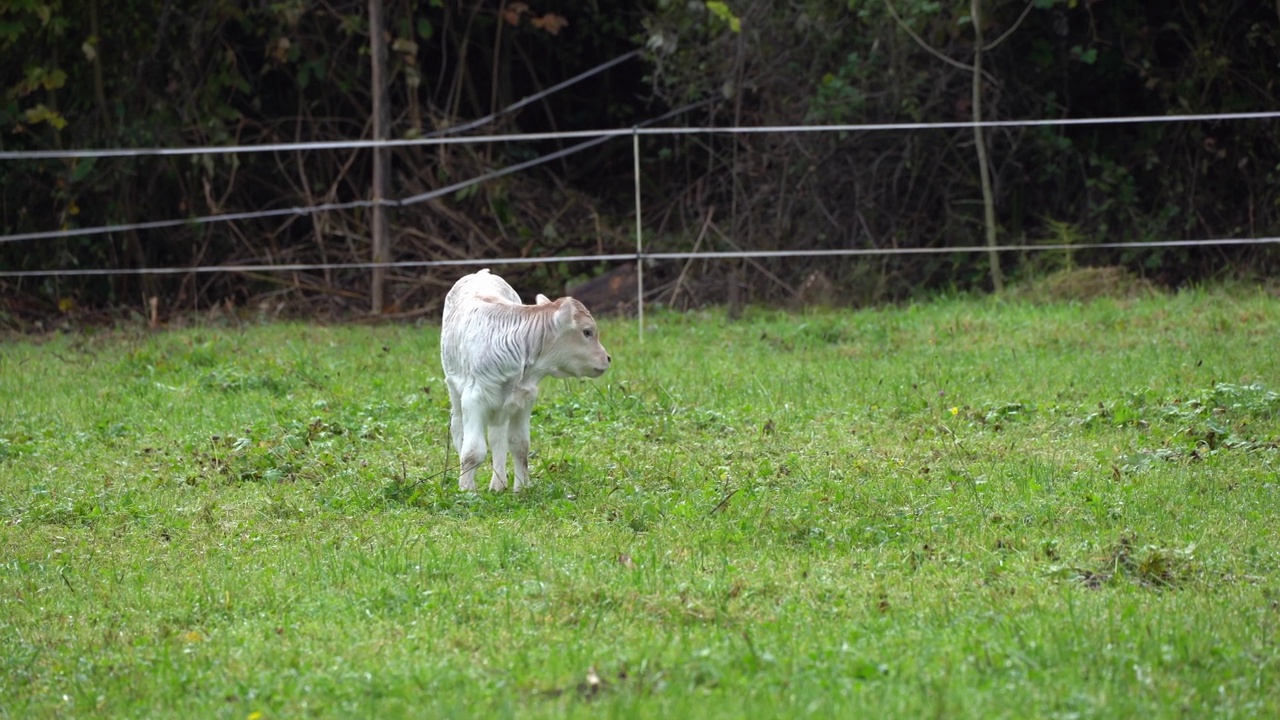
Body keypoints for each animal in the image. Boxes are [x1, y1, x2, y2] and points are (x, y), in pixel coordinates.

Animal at [440, 270, 609, 491]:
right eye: (587, 332)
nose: (607, 358)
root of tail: (481, 273)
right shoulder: (474, 399)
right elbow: (473, 451)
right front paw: (467, 491)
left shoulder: (525, 400)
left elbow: (519, 445)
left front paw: (521, 490)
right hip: (455, 390)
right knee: (458, 430)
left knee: (497, 436)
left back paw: (498, 484)